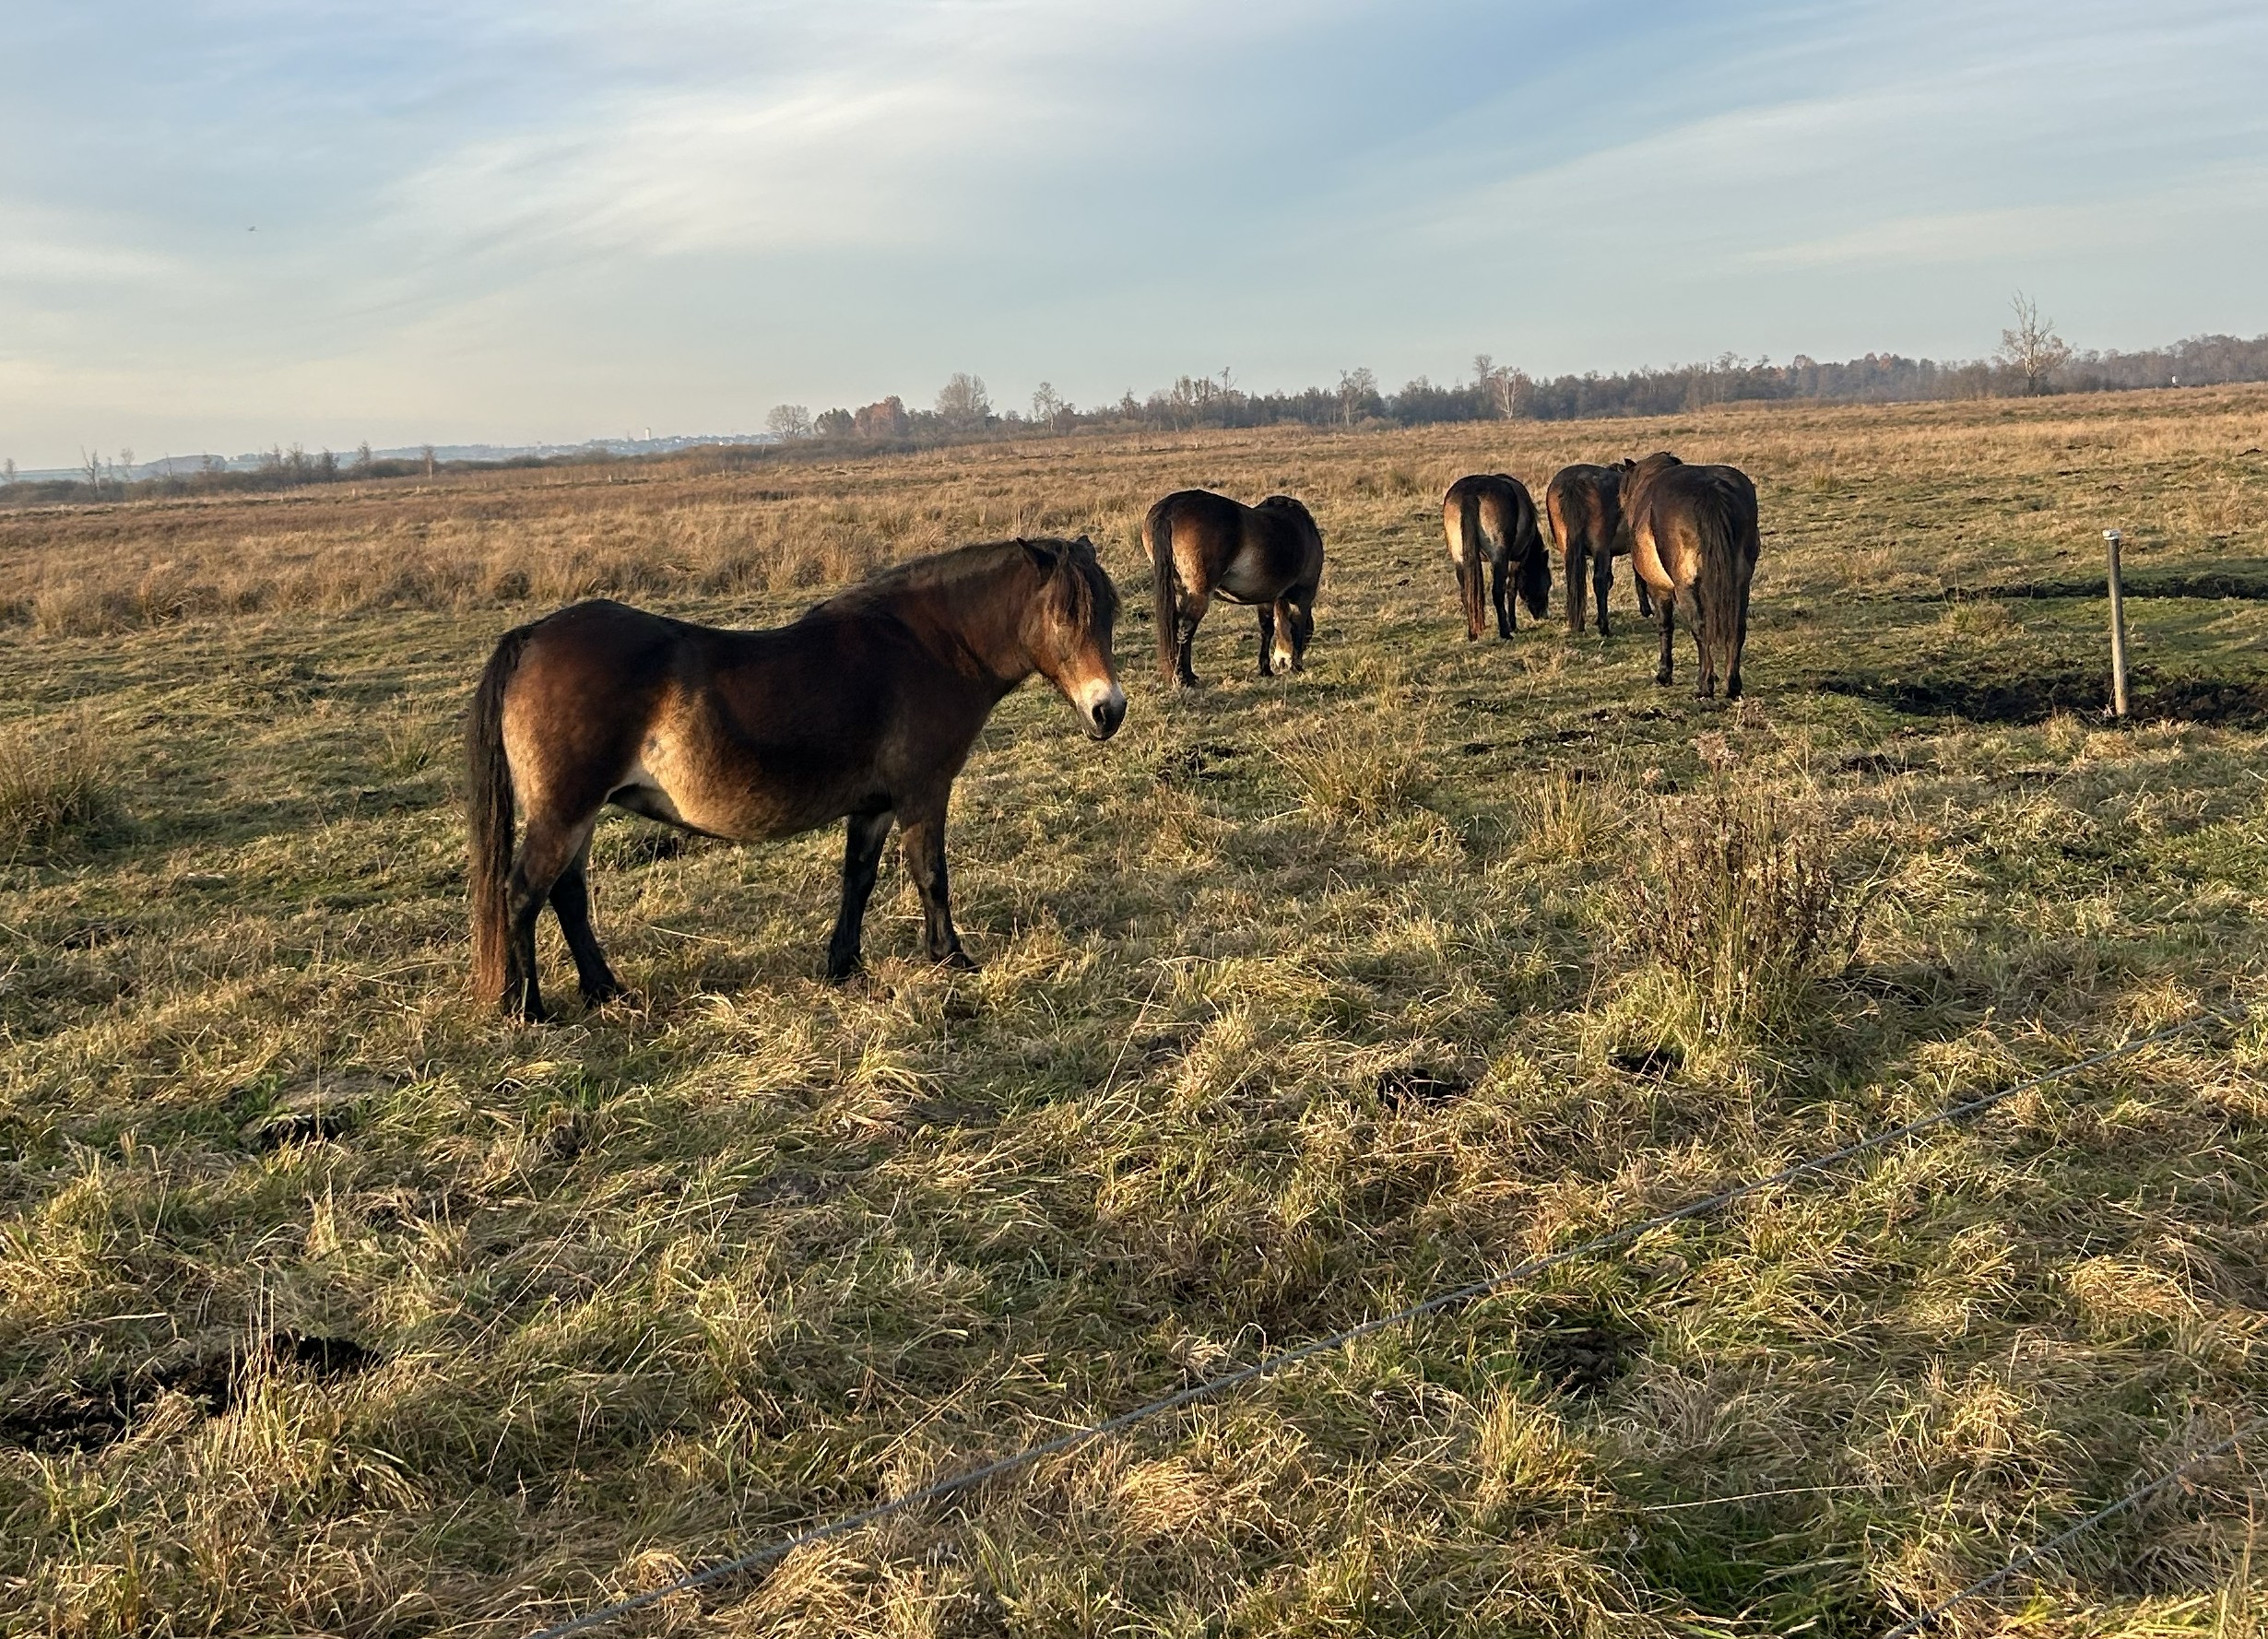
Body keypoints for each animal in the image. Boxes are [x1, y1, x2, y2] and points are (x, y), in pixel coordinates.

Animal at [466, 535, 1125, 1020]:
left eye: (1110, 614)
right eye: (1063, 617)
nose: (1108, 711)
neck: (928, 648)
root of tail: (532, 636)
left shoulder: (875, 806)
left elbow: (858, 880)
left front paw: (844, 965)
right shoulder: (922, 793)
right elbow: (930, 874)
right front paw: (950, 957)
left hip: (579, 816)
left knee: (568, 896)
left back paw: (605, 991)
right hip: (564, 814)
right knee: (523, 894)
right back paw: (527, 1009)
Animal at [1145, 489, 1324, 687]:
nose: (1283, 661)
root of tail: (1170, 508)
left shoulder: (1267, 597)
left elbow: (1267, 628)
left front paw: (1265, 669)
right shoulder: (1304, 595)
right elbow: (1297, 626)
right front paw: (1296, 667)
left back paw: (1188, 675)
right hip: (1199, 594)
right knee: (1186, 629)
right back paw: (1184, 678)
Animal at [1441, 473, 1550, 639]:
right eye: (1548, 583)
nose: (1544, 615)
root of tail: (1470, 494)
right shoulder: (1517, 559)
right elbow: (1512, 589)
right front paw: (1513, 625)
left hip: (1459, 559)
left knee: (1466, 594)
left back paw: (1472, 634)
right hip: (1500, 557)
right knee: (1498, 592)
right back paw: (1505, 632)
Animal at [1617, 453, 1761, 699]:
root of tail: (1710, 489)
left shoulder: (1660, 589)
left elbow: (1665, 626)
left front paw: (1664, 674)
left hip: (1685, 587)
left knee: (1700, 628)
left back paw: (1704, 686)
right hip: (1739, 585)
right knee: (1737, 626)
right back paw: (1732, 685)